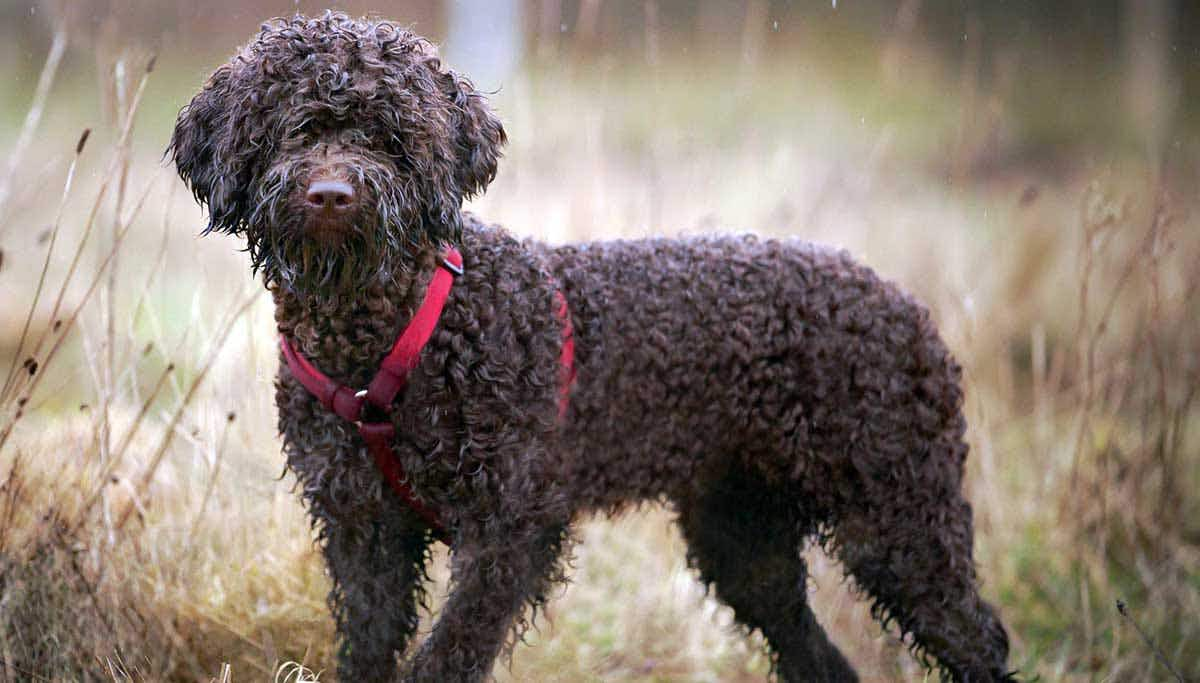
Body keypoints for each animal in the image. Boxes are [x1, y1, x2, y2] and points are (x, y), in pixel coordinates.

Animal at [169, 12, 1012, 681]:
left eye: (392, 137)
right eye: (294, 127)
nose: (333, 196)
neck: (392, 341)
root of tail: (911, 309)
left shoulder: (511, 530)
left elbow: (444, 656)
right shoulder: (362, 531)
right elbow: (370, 648)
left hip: (897, 516)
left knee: (977, 636)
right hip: (744, 536)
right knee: (814, 650)